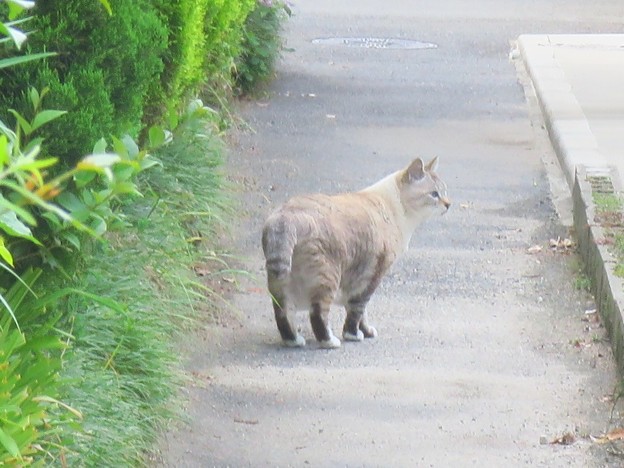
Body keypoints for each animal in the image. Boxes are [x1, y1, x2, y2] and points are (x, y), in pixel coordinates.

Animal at [260, 157, 448, 348]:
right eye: (434, 194)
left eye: (444, 191)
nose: (448, 204)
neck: (394, 207)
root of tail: (286, 216)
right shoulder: (372, 275)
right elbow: (358, 308)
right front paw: (353, 334)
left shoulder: (358, 279)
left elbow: (361, 311)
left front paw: (365, 331)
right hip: (328, 276)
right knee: (318, 312)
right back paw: (329, 341)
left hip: (281, 283)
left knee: (282, 312)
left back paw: (293, 340)